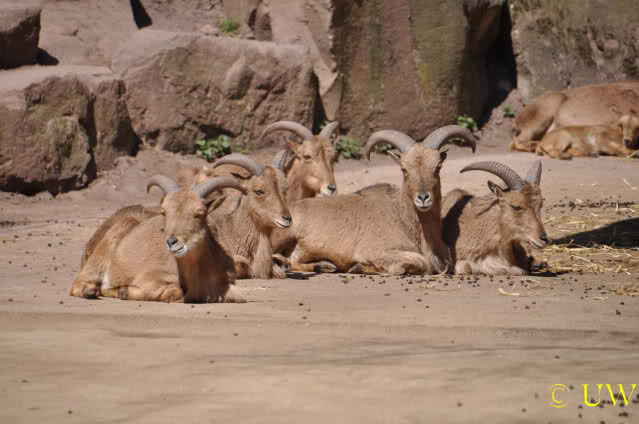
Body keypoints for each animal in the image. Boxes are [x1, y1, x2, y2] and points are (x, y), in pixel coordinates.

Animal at [69, 175, 247, 303]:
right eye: (164, 212)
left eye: (199, 213)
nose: (172, 243)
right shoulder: (149, 276)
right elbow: (174, 291)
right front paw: (124, 291)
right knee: (78, 284)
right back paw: (91, 291)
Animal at [275, 125, 476, 275]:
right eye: (404, 168)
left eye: (437, 167)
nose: (423, 198)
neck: (405, 221)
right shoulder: (374, 250)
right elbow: (417, 262)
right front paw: (359, 267)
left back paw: (323, 265)